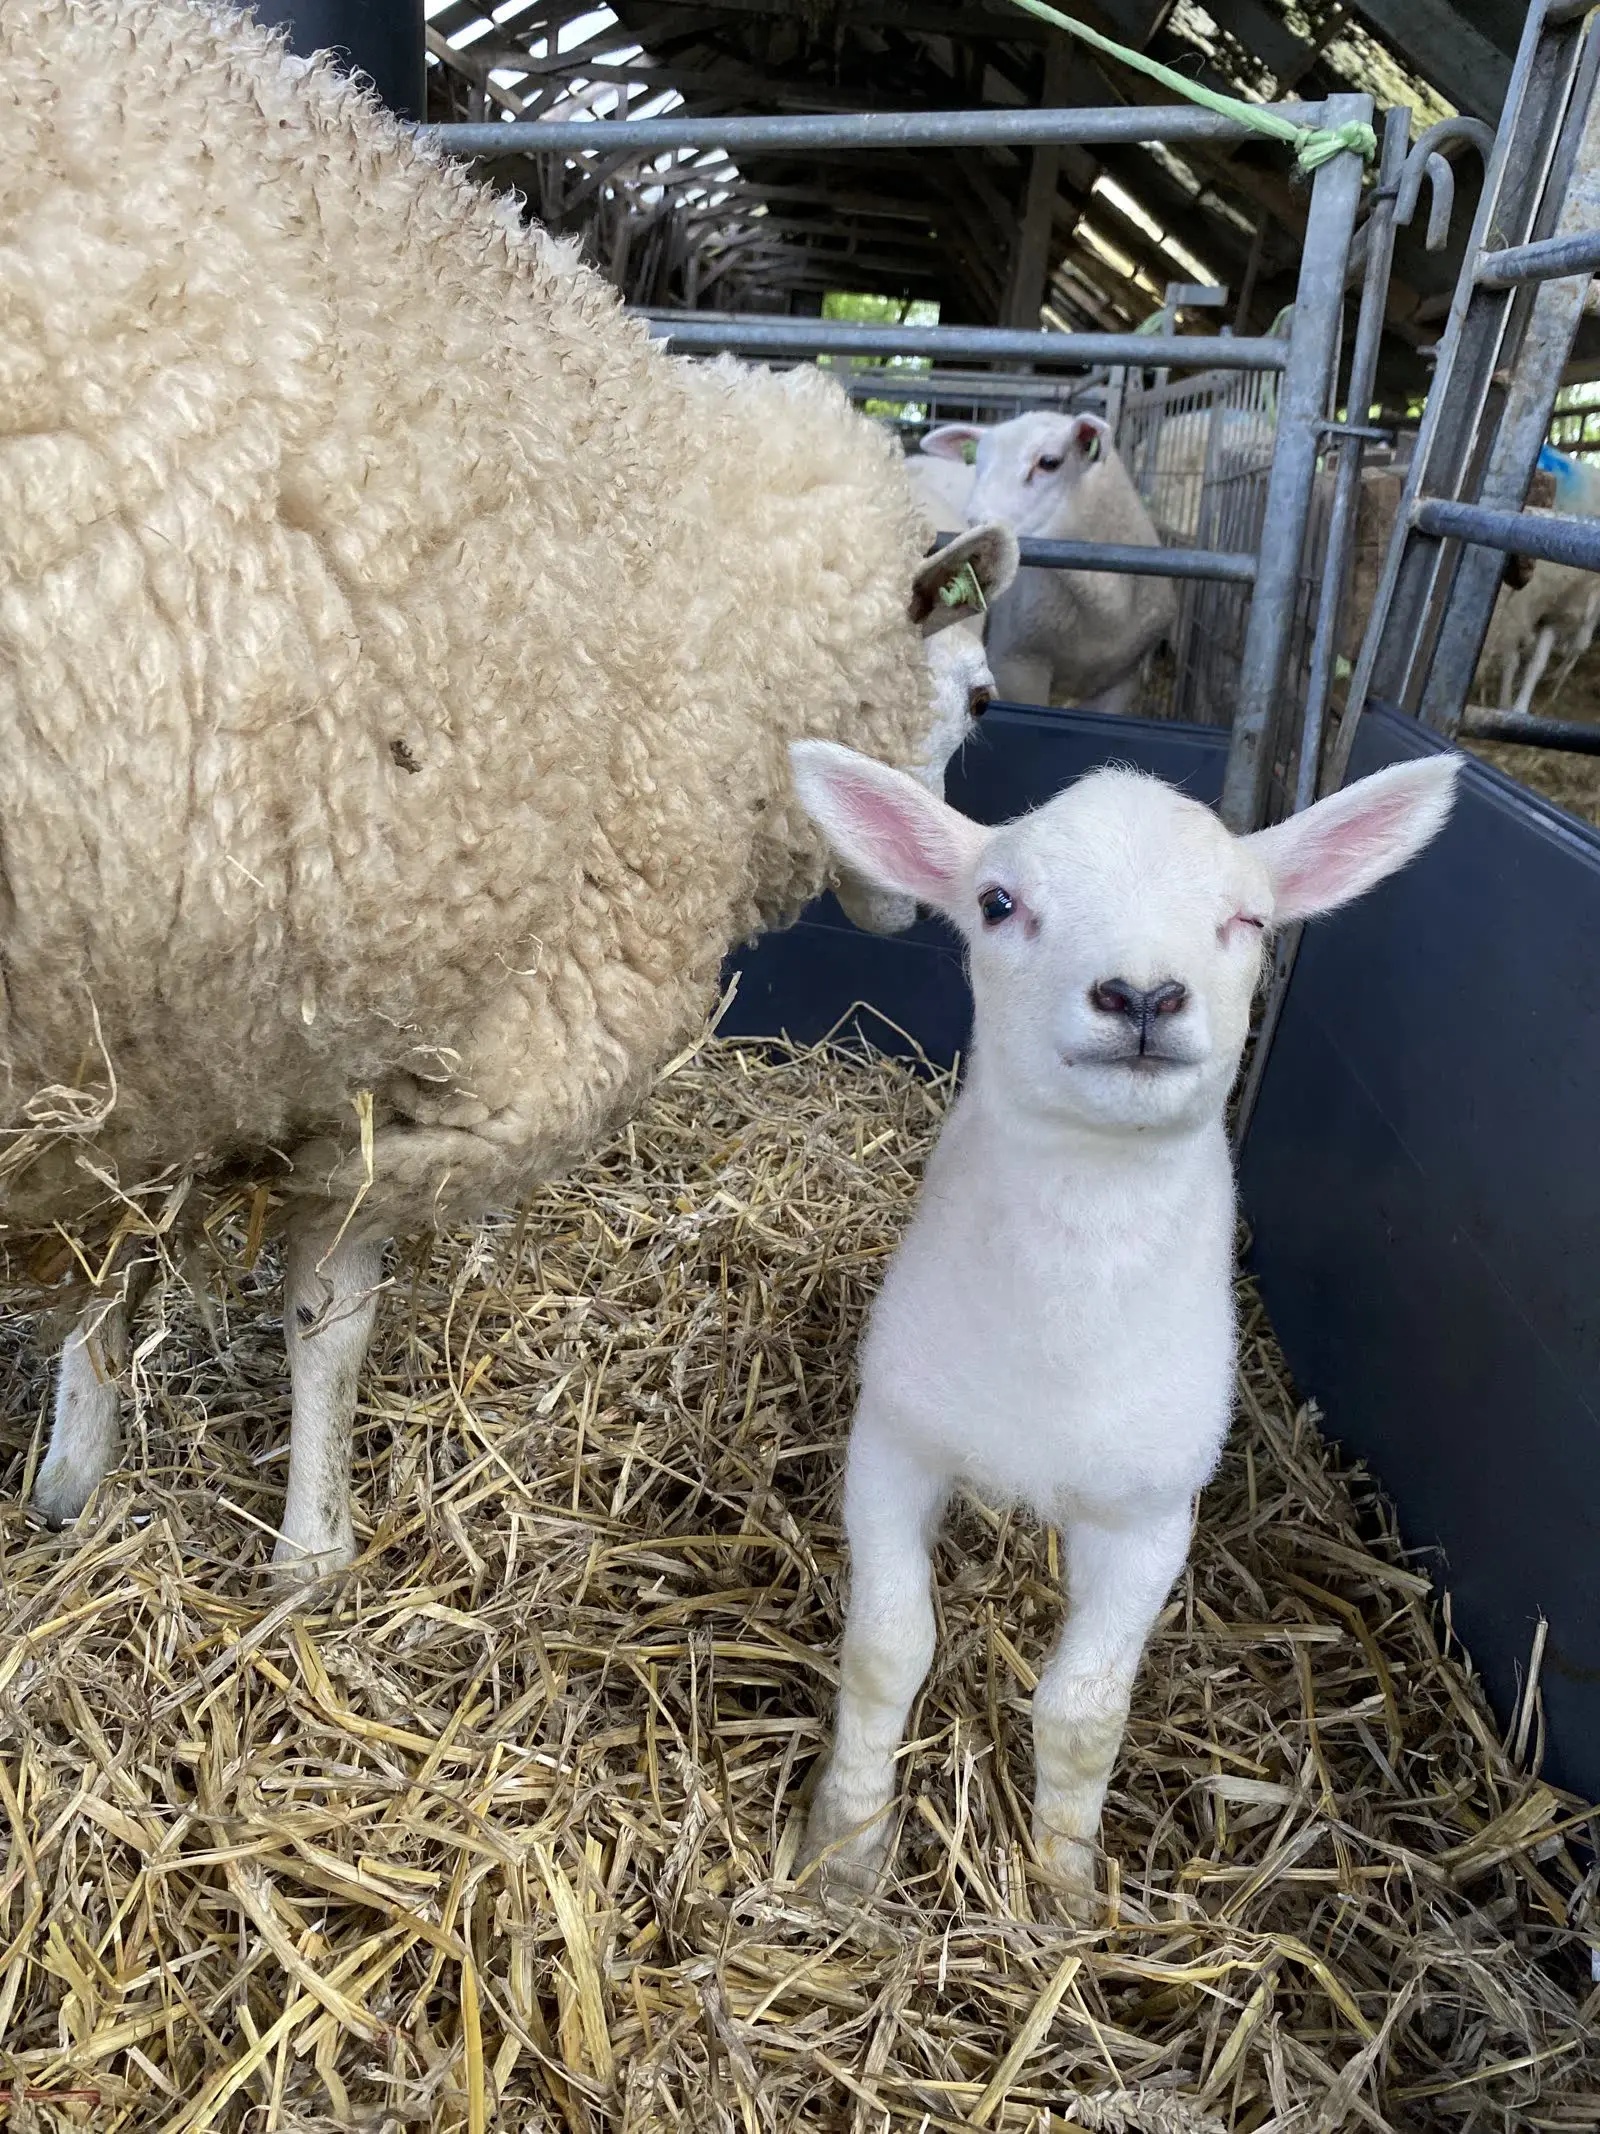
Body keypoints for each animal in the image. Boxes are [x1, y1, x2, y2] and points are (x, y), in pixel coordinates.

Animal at [3, 0, 1018, 1574]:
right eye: (972, 699)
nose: (919, 913)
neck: (686, 564)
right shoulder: (433, 1048)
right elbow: (327, 1319)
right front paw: (312, 1552)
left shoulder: (151, 1072)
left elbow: (104, 1288)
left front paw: (71, 1479)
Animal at [788, 737, 1459, 1913]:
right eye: (997, 902)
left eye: (1248, 917)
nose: (1142, 992)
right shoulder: (894, 1441)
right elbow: (885, 1652)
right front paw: (844, 1850)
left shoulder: (1150, 1515)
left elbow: (1085, 1711)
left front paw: (1063, 1885)